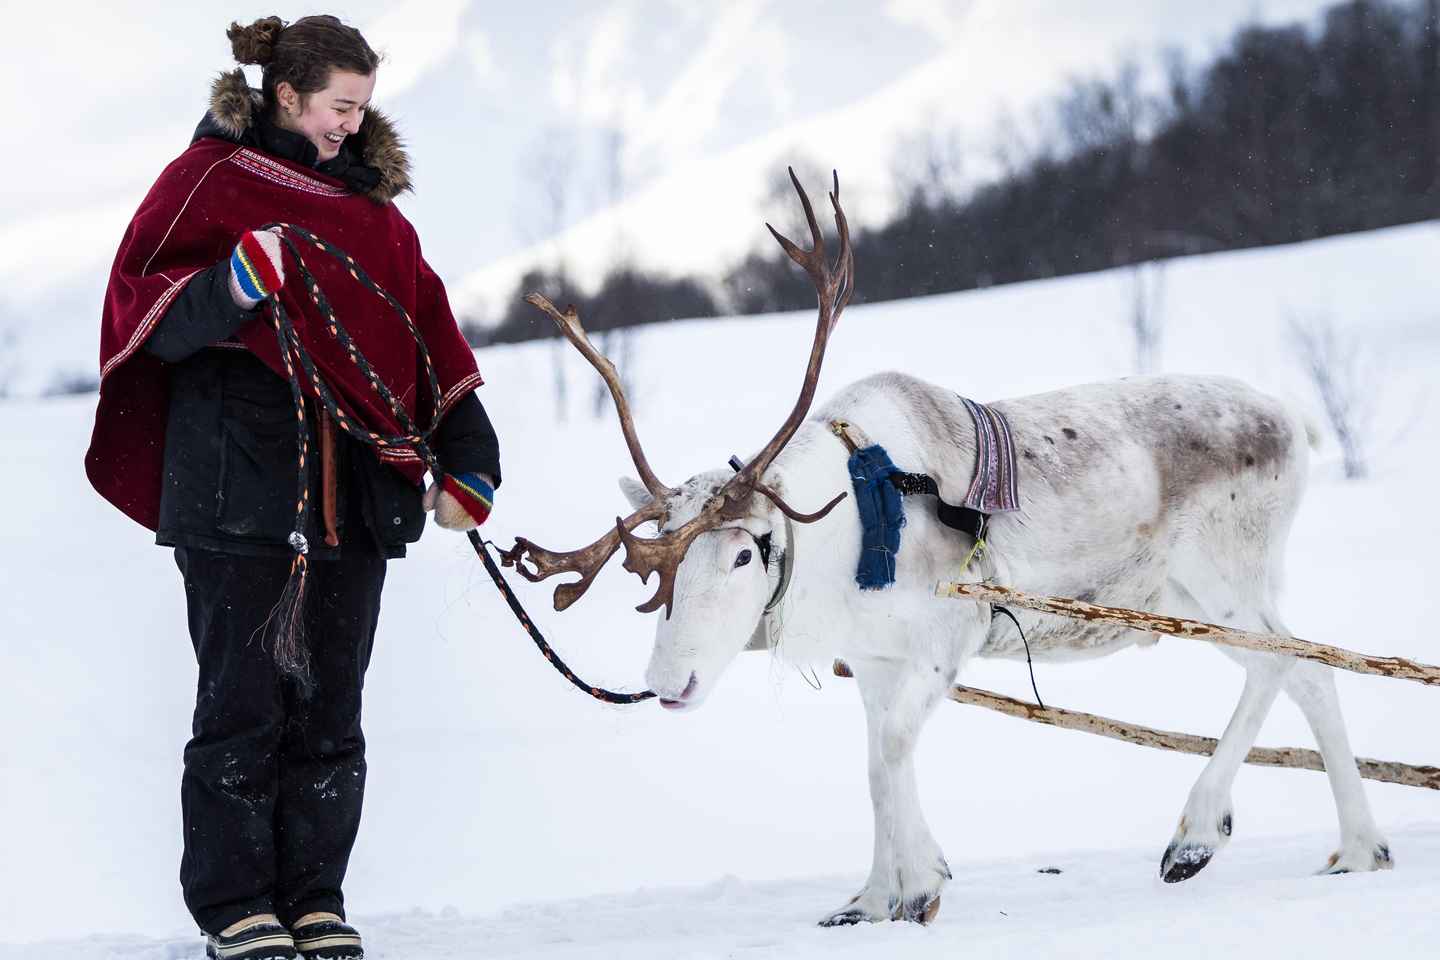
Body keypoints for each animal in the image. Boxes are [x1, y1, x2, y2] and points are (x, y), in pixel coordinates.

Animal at [502, 171, 1393, 926]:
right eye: (658, 569)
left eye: (746, 554)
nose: (667, 683)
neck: (844, 542)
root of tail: (1293, 421)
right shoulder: (875, 663)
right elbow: (874, 765)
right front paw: (872, 897)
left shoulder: (946, 639)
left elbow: (891, 755)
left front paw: (921, 885)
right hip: (1181, 600)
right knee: (1304, 670)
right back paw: (1355, 846)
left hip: (1223, 576)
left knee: (1290, 660)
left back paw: (1207, 836)